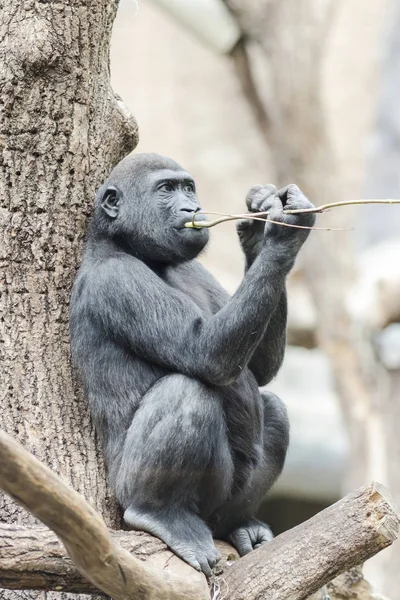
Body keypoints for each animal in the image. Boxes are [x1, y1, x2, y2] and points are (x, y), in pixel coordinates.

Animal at [70, 152, 318, 576]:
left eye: (189, 188)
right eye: (166, 189)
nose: (192, 208)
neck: (127, 246)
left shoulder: (195, 265)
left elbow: (260, 369)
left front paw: (257, 230)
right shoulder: (117, 279)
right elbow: (206, 354)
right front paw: (284, 232)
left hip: (220, 511)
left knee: (273, 409)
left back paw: (239, 524)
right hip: (124, 488)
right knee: (188, 392)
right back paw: (158, 512)